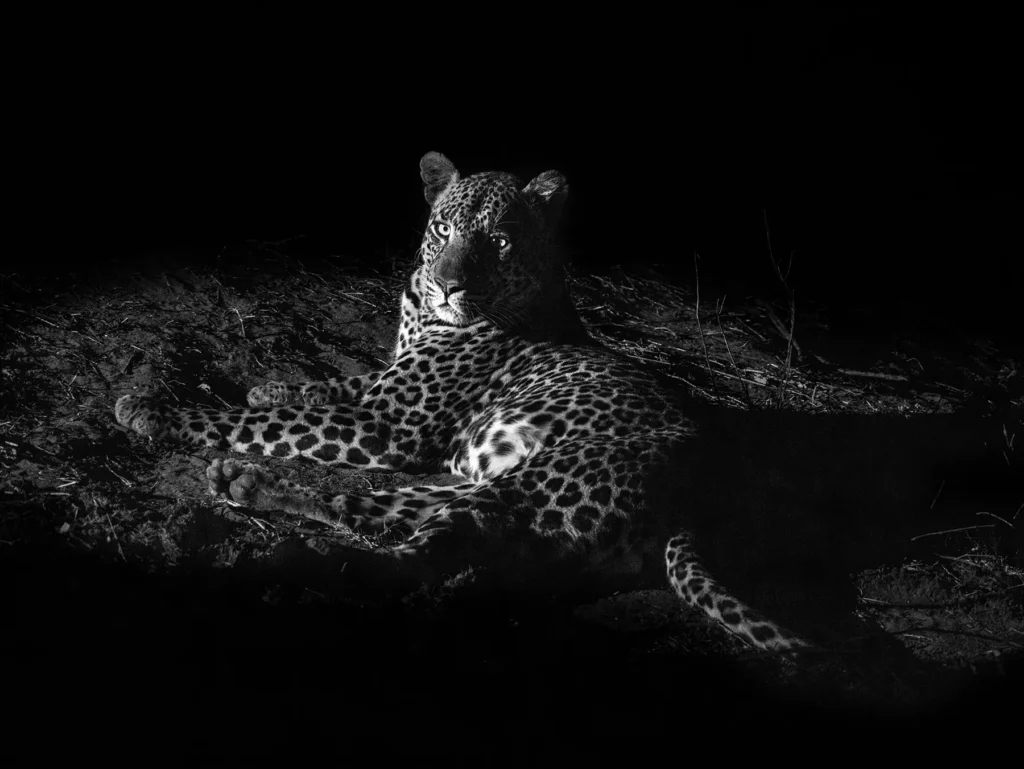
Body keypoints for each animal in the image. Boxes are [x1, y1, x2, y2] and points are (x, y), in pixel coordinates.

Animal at [115, 151, 809, 653]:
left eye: (498, 241)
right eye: (443, 229)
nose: (448, 286)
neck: (422, 307)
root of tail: (697, 497)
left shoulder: (387, 424)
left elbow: (258, 419)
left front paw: (153, 409)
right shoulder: (384, 391)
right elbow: (331, 385)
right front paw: (274, 384)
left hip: (542, 483)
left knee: (419, 557)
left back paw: (291, 567)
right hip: (488, 485)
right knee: (378, 510)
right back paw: (245, 485)